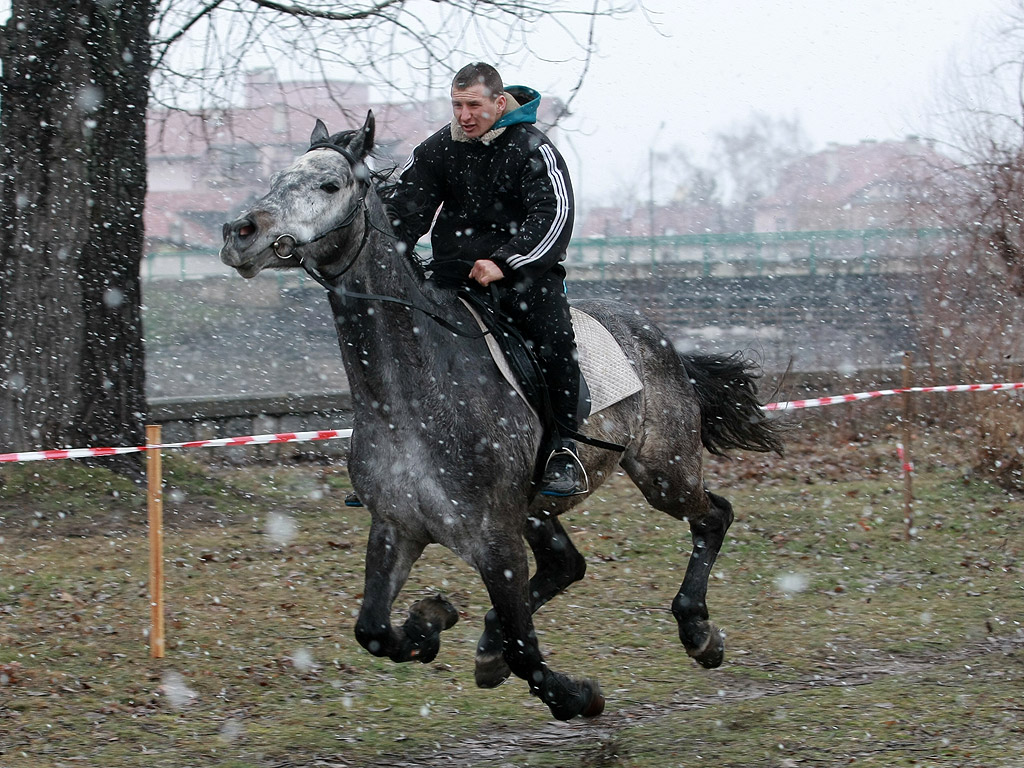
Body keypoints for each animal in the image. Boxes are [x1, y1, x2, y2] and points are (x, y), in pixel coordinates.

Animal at [220, 111, 782, 724]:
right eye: (278, 177)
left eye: (328, 185)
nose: (239, 233)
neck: (407, 400)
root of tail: (662, 341)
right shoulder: (397, 527)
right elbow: (372, 629)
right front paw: (431, 620)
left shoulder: (495, 539)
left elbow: (523, 646)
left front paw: (576, 696)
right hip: (541, 507)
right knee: (566, 564)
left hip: (663, 473)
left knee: (712, 517)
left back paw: (698, 632)